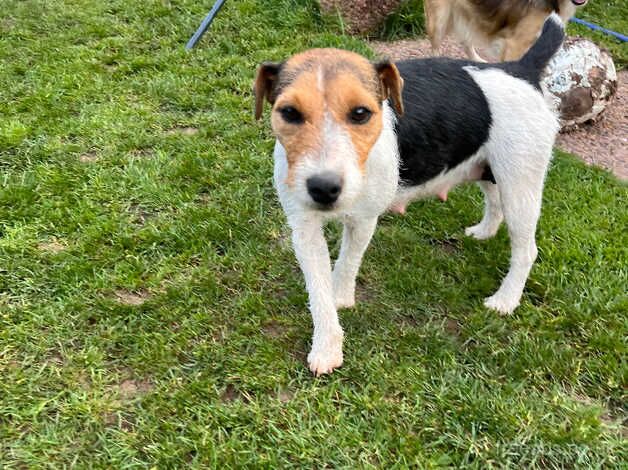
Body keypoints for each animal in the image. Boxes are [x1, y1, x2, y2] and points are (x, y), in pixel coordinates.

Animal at [255, 16, 564, 374]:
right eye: (289, 112)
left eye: (360, 113)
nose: (323, 187)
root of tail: (520, 68)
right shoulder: (304, 229)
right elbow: (318, 291)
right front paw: (327, 345)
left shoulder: (362, 221)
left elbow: (346, 265)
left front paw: (340, 300)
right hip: (487, 169)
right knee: (494, 202)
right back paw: (484, 232)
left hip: (521, 186)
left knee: (526, 250)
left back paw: (505, 301)